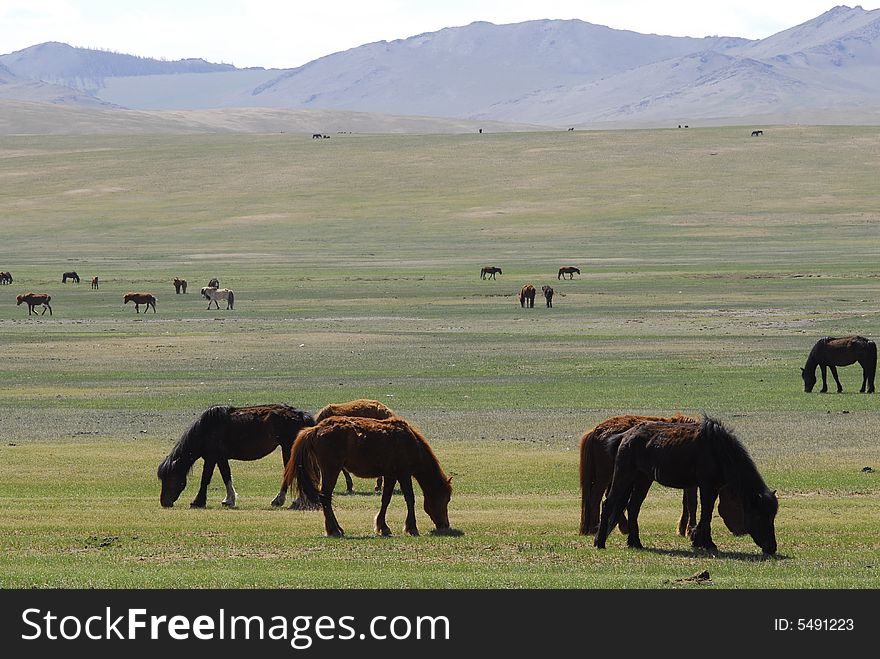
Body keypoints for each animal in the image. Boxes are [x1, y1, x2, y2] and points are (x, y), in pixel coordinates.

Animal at [158, 402, 316, 510]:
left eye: (170, 478)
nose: (164, 503)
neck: (207, 429)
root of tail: (300, 415)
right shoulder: (220, 458)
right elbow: (226, 476)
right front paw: (229, 500)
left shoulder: (212, 457)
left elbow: (206, 479)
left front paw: (198, 502)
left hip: (288, 449)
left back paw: (283, 500)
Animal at [286, 420, 454, 540]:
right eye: (445, 499)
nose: (445, 525)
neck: (410, 442)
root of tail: (315, 429)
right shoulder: (404, 474)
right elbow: (410, 499)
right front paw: (412, 527)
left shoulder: (390, 475)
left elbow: (386, 499)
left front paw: (383, 527)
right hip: (331, 470)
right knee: (325, 497)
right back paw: (334, 530)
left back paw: (334, 529)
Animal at [592, 418, 776, 556]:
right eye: (759, 516)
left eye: (772, 516)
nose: (772, 548)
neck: (719, 450)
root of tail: (624, 436)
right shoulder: (706, 486)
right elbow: (706, 513)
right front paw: (706, 543)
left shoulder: (713, 488)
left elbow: (707, 513)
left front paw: (699, 540)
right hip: (624, 476)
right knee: (609, 503)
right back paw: (600, 542)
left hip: (643, 480)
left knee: (633, 507)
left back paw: (635, 542)